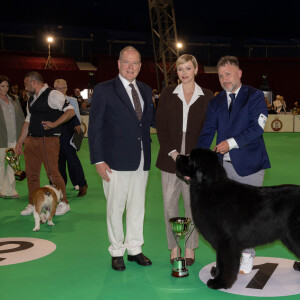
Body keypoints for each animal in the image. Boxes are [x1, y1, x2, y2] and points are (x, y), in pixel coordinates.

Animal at [177, 149, 300, 290]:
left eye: (190, 158)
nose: (178, 156)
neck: (210, 187)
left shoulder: (226, 241)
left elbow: (226, 263)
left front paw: (220, 282)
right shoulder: (221, 243)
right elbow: (220, 261)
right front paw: (216, 273)